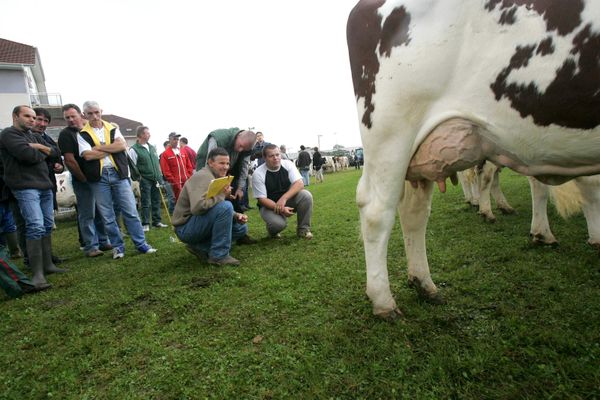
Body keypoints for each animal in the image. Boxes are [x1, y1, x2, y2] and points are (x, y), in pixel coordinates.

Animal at [346, 0, 600, 318]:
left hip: (419, 153)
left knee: (415, 211)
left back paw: (424, 283)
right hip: (391, 132)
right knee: (377, 210)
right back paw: (383, 301)